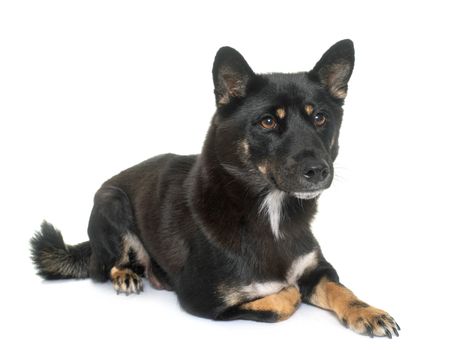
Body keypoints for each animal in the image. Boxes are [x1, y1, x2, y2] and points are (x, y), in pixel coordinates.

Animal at [31, 39, 400, 338]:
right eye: (268, 122)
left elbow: (341, 290)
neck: (271, 213)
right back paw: (126, 274)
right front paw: (290, 293)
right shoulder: (204, 298)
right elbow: (286, 297)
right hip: (111, 201)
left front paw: (368, 312)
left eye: (320, 118)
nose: (319, 171)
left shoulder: (319, 269)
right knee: (105, 266)